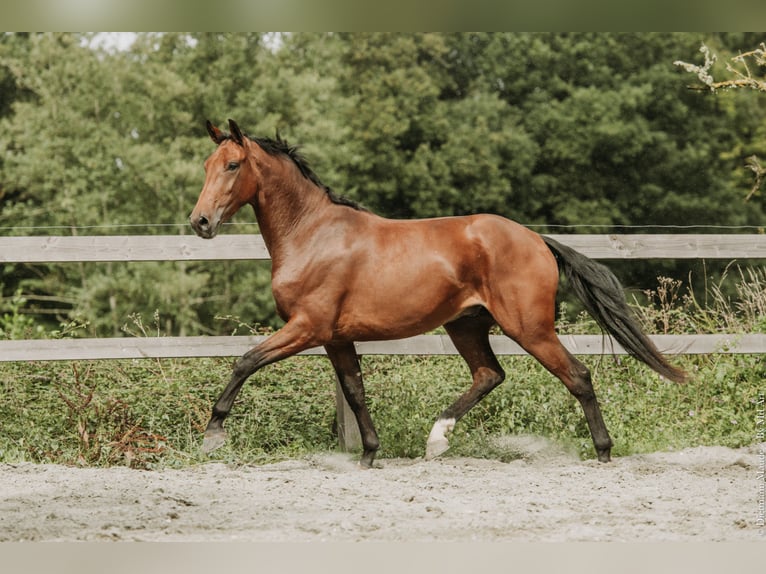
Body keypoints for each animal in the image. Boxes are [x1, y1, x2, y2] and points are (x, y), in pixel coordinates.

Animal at [190, 119, 686, 468]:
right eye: (206, 167)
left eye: (233, 165)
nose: (200, 222)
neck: (311, 234)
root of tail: (537, 239)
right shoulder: (336, 337)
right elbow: (354, 391)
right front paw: (369, 454)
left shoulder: (307, 328)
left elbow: (246, 361)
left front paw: (213, 434)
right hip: (466, 325)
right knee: (489, 375)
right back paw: (437, 439)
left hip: (529, 327)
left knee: (577, 376)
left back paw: (603, 451)